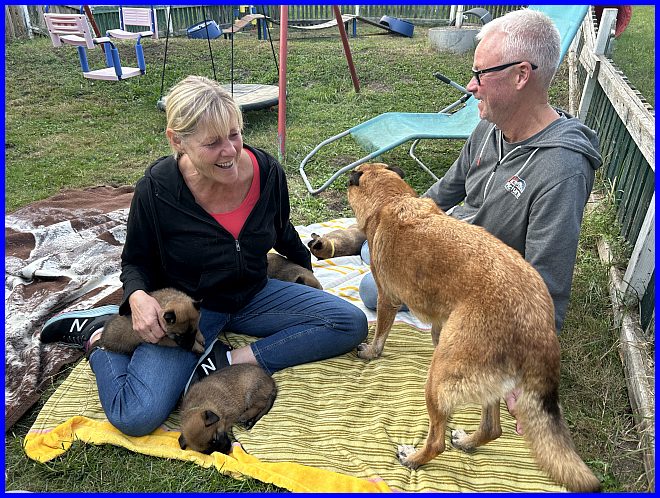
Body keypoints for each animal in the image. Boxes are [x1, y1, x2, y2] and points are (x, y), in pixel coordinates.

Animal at [346, 163, 600, 493]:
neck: (393, 200)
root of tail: (538, 327)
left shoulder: (387, 297)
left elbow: (380, 334)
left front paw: (371, 352)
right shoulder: (440, 323)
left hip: (438, 378)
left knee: (437, 441)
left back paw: (414, 459)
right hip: (484, 381)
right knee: (493, 429)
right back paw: (468, 442)